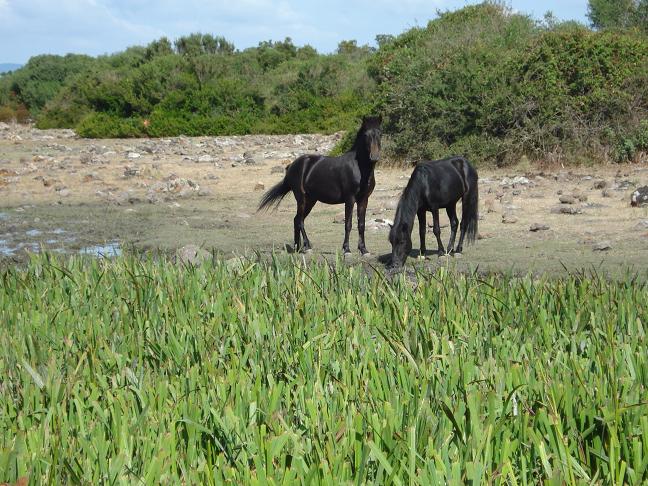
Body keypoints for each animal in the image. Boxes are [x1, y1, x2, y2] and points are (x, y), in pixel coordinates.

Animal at [256, 117, 380, 254]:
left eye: (380, 134)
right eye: (366, 135)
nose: (374, 157)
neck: (358, 168)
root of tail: (292, 165)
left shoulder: (364, 199)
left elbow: (361, 224)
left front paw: (364, 250)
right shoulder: (350, 199)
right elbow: (348, 224)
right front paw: (346, 249)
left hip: (311, 200)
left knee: (297, 220)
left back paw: (298, 248)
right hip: (301, 198)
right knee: (299, 221)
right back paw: (307, 246)